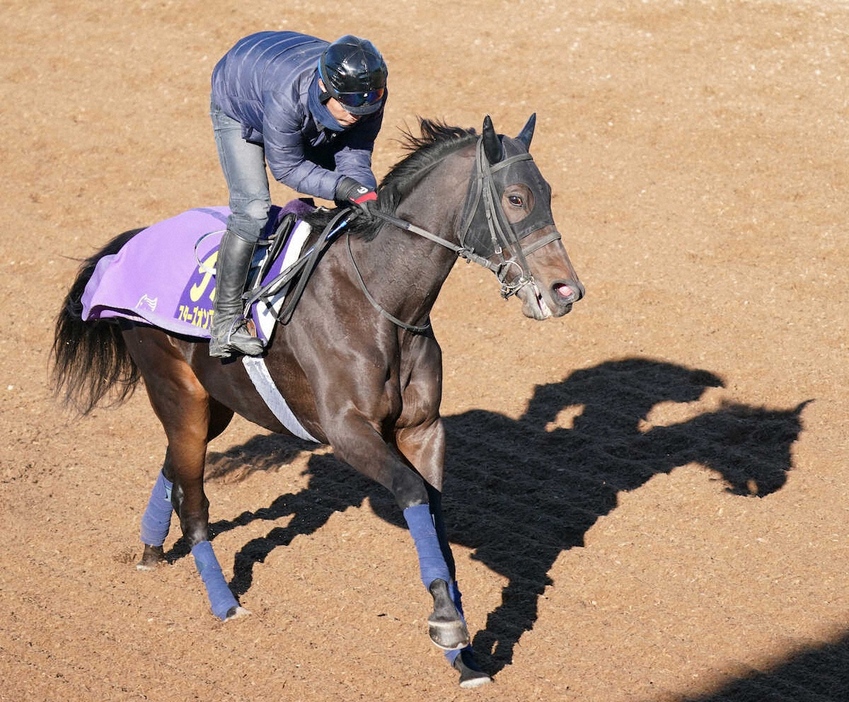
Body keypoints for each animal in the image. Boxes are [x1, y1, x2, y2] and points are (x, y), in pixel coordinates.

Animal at [51, 115, 584, 688]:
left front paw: (463, 654)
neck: (383, 299)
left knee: (174, 465)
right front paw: (447, 623)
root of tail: (127, 247)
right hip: (178, 393)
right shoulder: (347, 430)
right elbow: (412, 492)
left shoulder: (423, 428)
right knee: (193, 502)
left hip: (215, 404)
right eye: (515, 197)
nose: (566, 291)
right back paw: (223, 602)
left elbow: (436, 515)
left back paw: (151, 548)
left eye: (549, 193)